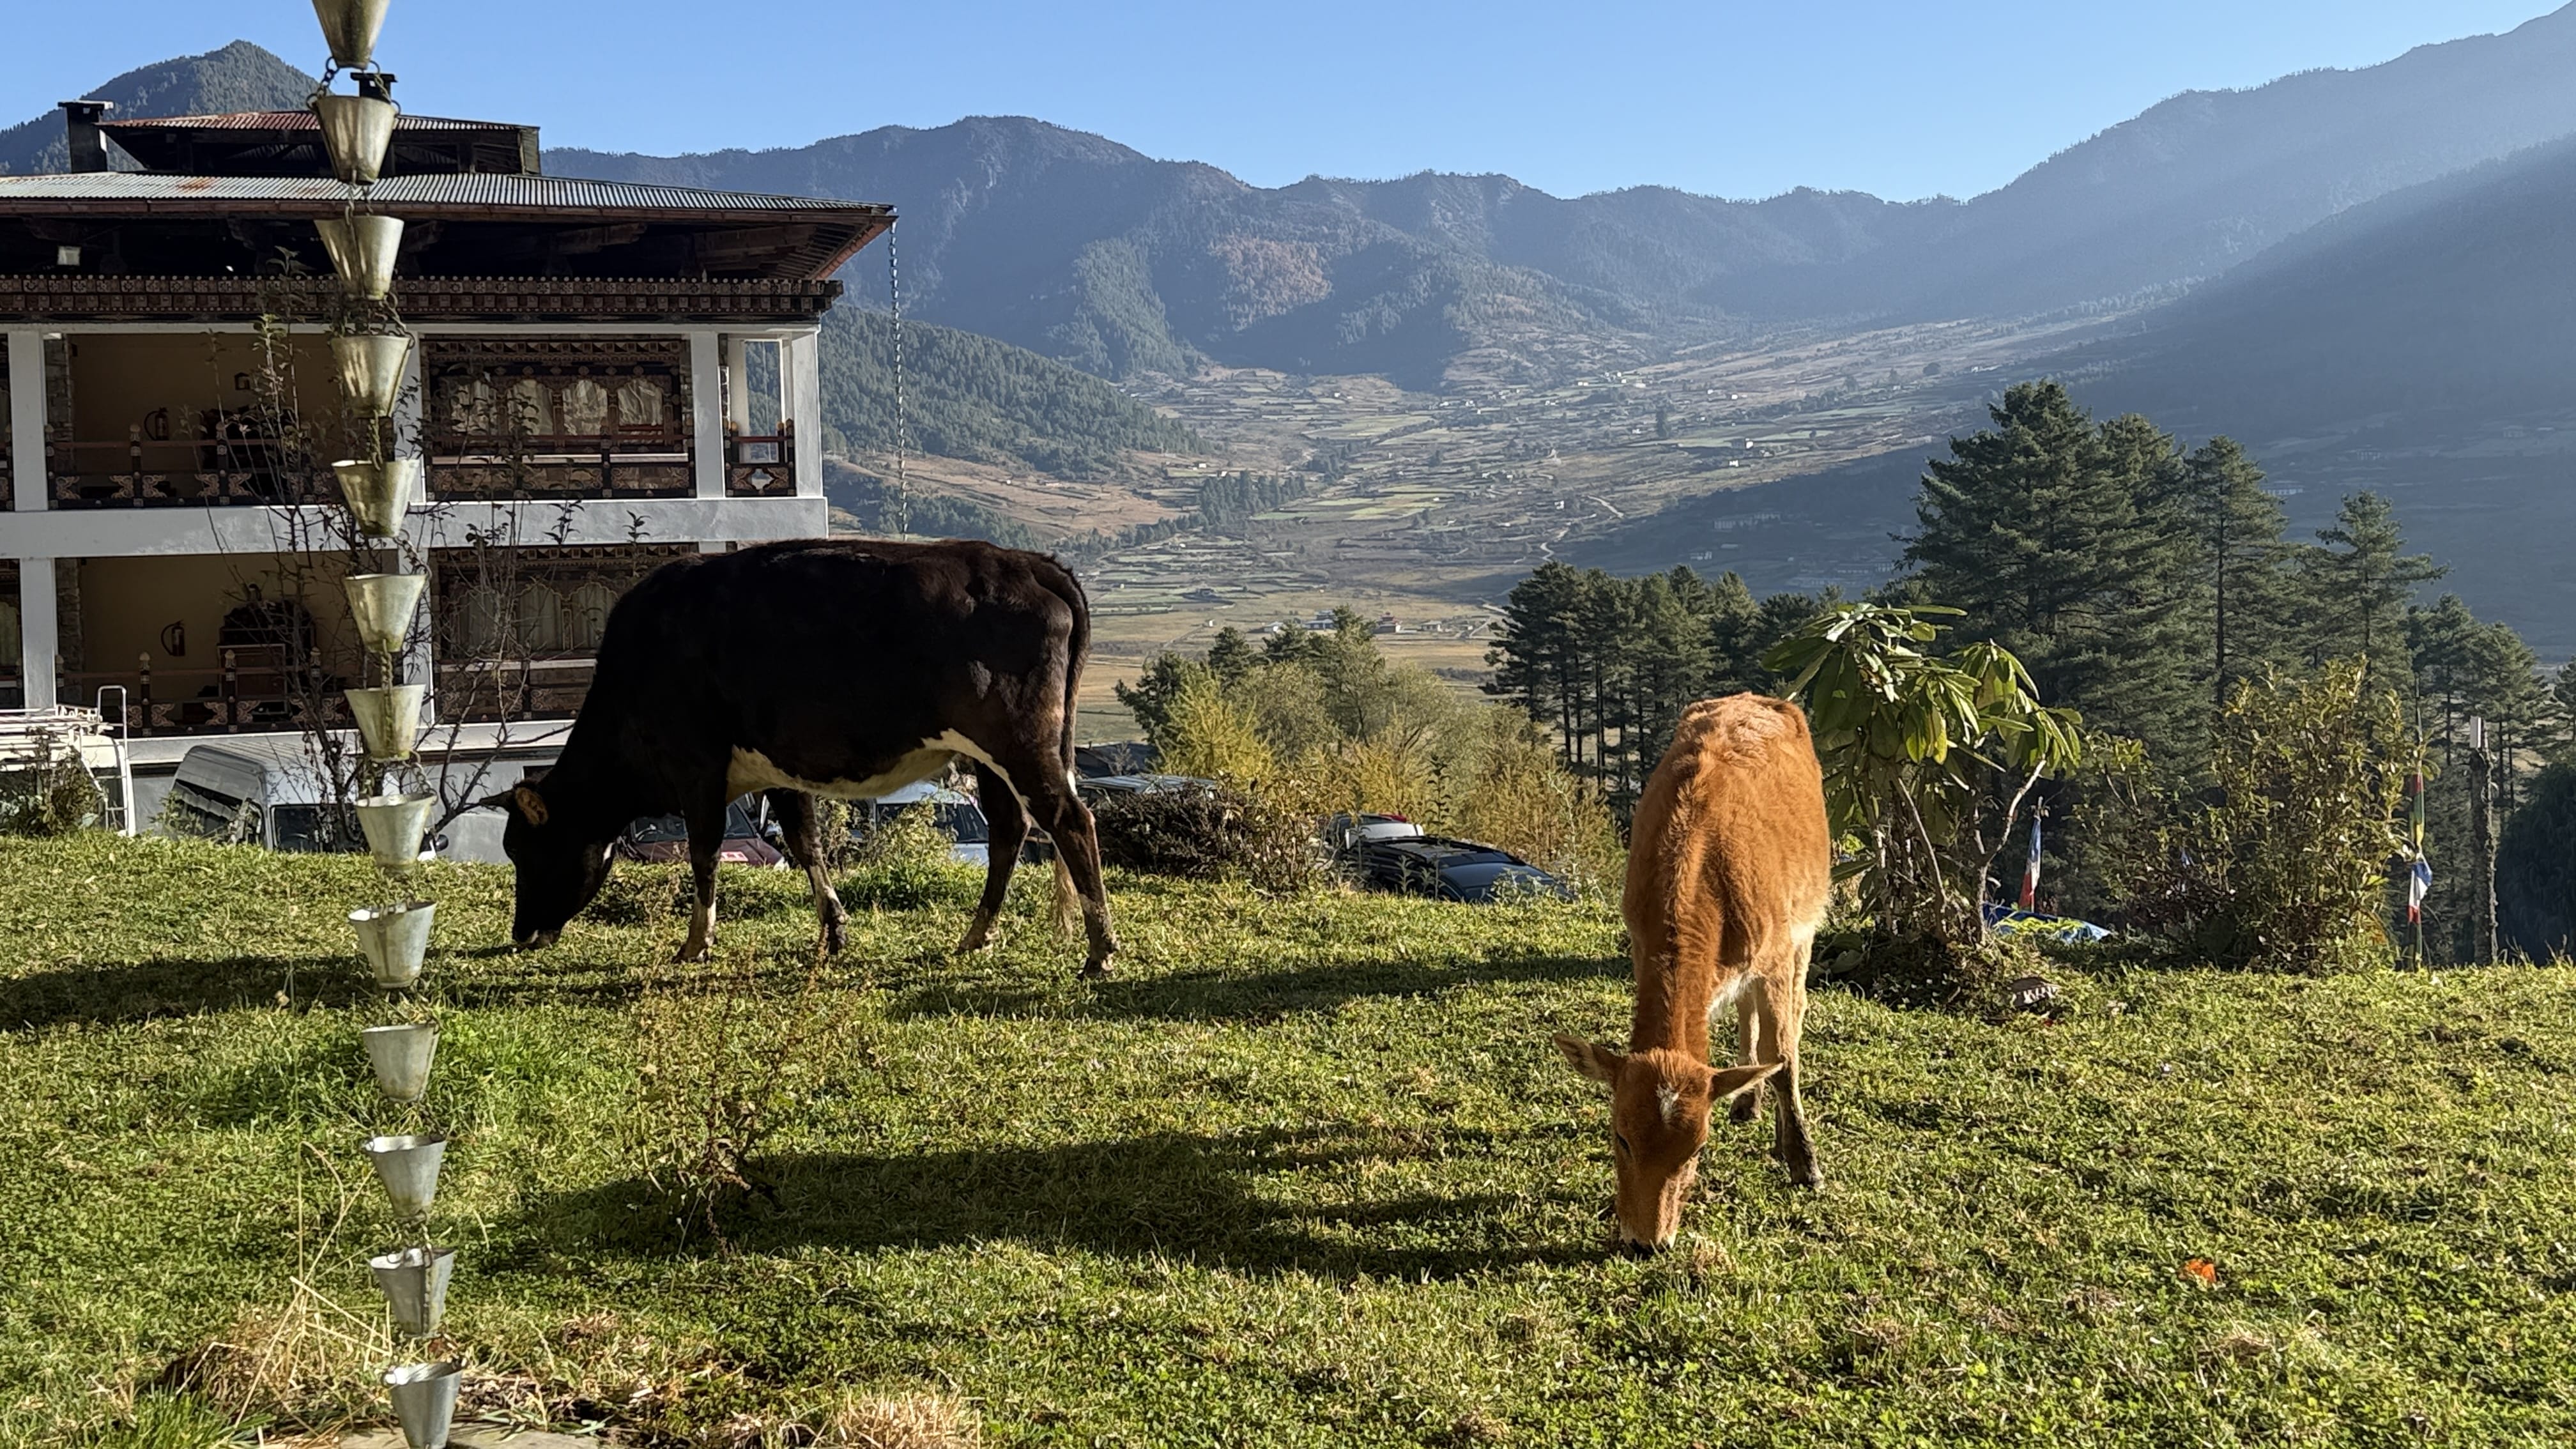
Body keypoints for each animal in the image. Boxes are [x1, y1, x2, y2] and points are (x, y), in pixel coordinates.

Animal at [481, 537, 1117, 976]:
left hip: (1020, 743)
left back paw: (1100, 950)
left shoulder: (697, 767)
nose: (521, 933)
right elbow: (804, 841)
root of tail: (1022, 561)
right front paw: (833, 932)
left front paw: (695, 943)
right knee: (1009, 830)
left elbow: (704, 853)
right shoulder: (776, 770)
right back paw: (975, 936)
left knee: (1071, 821)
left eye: (528, 852)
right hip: (991, 756)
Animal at [1553, 693, 1832, 1251]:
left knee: (1792, 1017)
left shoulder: (1776, 953)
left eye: (1698, 1149)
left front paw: (1804, 1163)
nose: (1646, 1243)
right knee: (1747, 1014)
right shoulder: (1640, 942)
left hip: (1804, 926)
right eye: (1619, 1136)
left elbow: (1784, 1056)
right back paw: (1747, 1101)